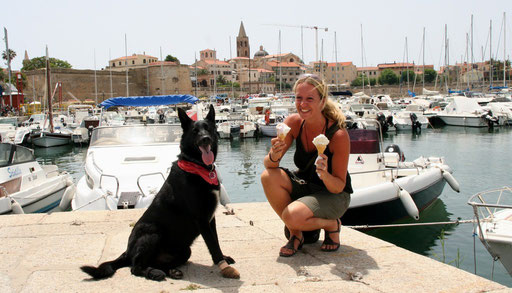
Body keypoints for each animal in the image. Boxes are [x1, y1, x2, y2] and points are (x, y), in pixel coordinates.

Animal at [80, 105, 240, 280]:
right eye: (195, 131)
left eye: (208, 129)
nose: (205, 139)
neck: (197, 166)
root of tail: (127, 252)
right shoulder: (202, 219)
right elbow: (212, 245)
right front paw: (223, 266)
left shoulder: (211, 219)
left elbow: (216, 241)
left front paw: (223, 259)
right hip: (153, 234)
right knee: (135, 267)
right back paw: (154, 273)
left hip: (185, 251)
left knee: (158, 263)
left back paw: (171, 271)